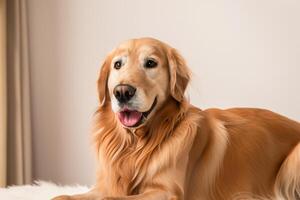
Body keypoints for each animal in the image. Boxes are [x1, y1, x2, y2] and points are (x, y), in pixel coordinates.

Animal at [54, 38, 300, 200]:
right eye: (117, 65)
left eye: (150, 63)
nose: (122, 92)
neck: (136, 144)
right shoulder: (105, 185)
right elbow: (65, 196)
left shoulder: (166, 192)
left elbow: (112, 199)